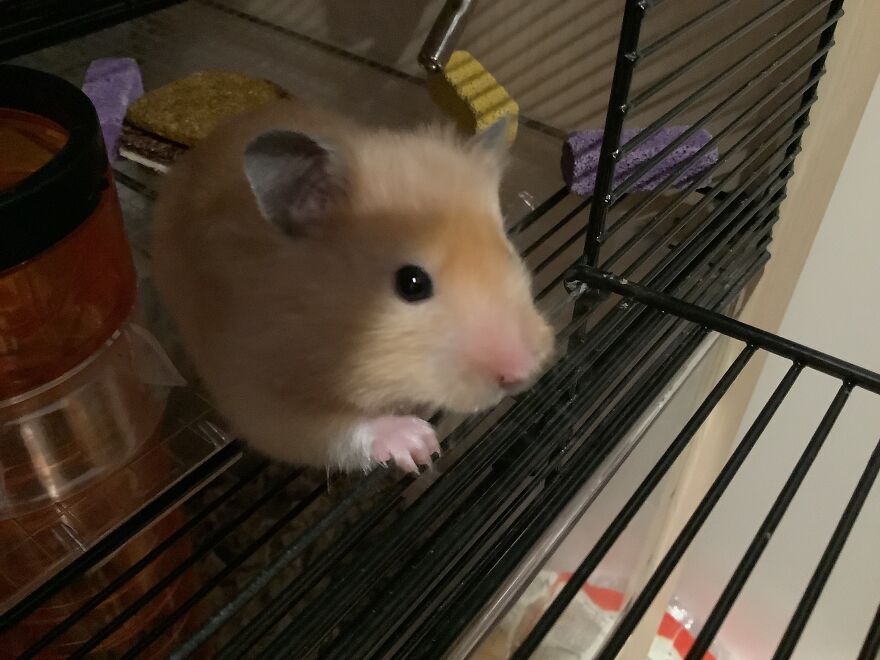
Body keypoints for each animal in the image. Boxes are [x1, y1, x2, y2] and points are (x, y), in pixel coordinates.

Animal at [151, 99, 554, 473]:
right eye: (411, 283)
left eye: (508, 249)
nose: (522, 373)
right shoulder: (257, 393)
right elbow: (330, 431)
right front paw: (422, 445)